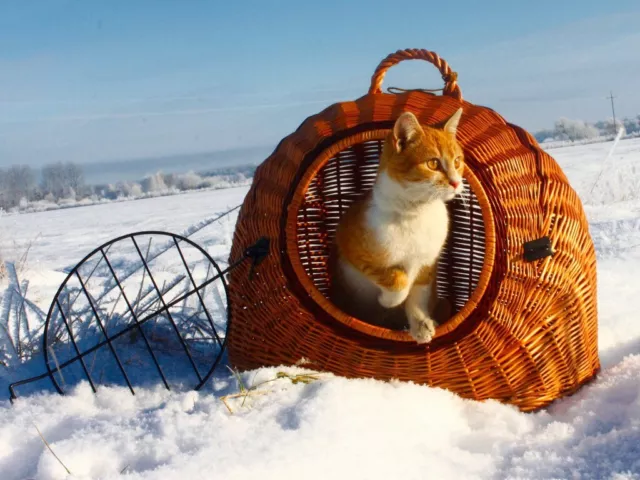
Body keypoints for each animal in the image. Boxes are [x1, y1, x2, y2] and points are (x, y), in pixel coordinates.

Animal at [330, 108, 464, 344]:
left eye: (457, 161)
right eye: (433, 163)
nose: (456, 183)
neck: (416, 214)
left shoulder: (427, 264)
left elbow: (417, 294)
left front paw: (421, 324)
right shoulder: (350, 247)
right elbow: (398, 280)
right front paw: (388, 301)